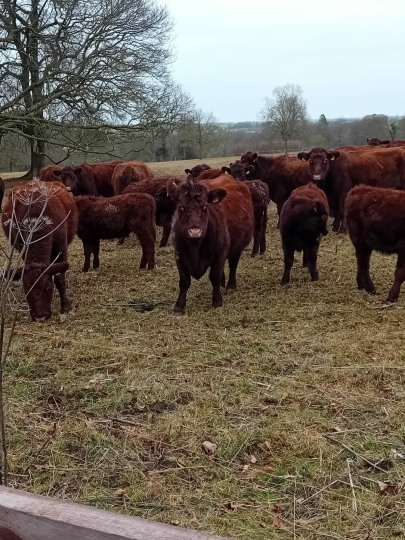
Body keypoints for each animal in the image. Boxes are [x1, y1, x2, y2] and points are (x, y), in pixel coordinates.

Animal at [1, 180, 78, 320]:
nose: (40, 317)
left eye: (48, 287)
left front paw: (65, 304)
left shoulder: (62, 249)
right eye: (26, 290)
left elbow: (59, 278)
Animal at [167, 175, 254, 314]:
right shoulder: (179, 255)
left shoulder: (221, 252)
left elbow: (214, 276)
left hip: (237, 247)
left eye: (204, 206)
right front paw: (179, 306)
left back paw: (230, 285)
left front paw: (217, 301)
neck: (195, 246)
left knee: (233, 265)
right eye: (181, 207)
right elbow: (184, 281)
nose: (195, 231)